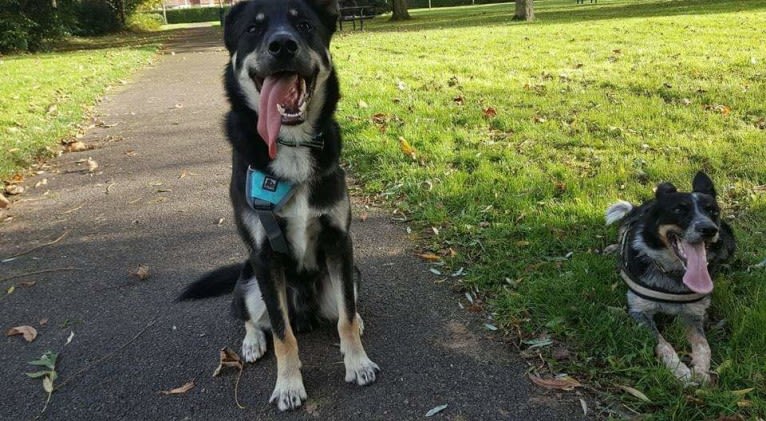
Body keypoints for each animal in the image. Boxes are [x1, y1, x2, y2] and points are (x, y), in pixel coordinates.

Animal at [181, 0, 384, 408]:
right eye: (253, 29)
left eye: (303, 24)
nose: (283, 45)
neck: (291, 142)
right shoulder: (263, 256)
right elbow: (281, 333)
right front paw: (288, 385)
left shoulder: (340, 242)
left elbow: (346, 316)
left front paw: (357, 362)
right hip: (249, 280)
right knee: (249, 315)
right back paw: (251, 342)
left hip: (348, 274)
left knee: (343, 307)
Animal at [608, 171, 736, 384]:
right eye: (678, 210)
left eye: (712, 211)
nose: (709, 229)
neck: (672, 274)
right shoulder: (639, 312)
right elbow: (663, 344)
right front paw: (680, 370)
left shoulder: (693, 315)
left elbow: (703, 345)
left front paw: (701, 371)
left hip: (728, 239)